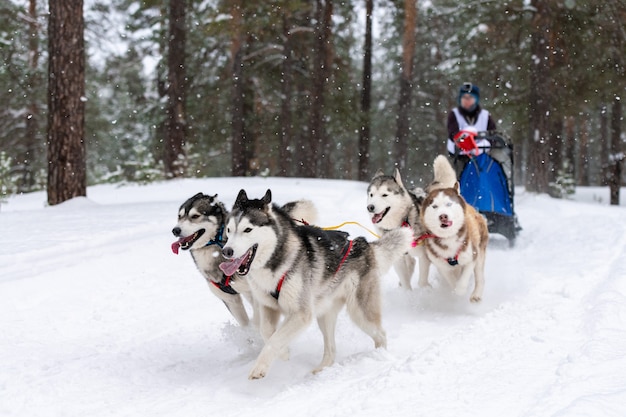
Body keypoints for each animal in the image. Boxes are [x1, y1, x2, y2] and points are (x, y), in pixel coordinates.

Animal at [171, 192, 314, 324]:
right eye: (179, 216)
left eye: (195, 216)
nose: (175, 230)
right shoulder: (230, 300)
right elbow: (245, 324)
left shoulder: (254, 294)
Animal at [217, 190, 412, 378]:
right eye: (229, 230)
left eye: (247, 230)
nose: (227, 251)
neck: (276, 259)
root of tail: (364, 245)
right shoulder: (268, 306)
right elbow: (266, 332)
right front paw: (284, 352)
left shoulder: (301, 314)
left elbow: (275, 339)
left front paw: (261, 367)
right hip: (324, 315)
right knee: (331, 349)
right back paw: (321, 370)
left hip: (360, 312)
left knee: (381, 335)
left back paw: (379, 358)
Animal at [366, 156, 454, 290]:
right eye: (371, 194)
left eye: (384, 195)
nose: (370, 207)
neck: (402, 222)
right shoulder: (399, 258)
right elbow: (405, 281)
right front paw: (407, 292)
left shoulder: (424, 256)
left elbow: (422, 280)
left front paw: (424, 290)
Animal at [420, 158, 488, 300]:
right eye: (434, 206)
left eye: (449, 204)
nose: (443, 216)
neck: (449, 238)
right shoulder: (441, 265)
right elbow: (451, 279)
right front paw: (454, 288)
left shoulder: (471, 256)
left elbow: (464, 277)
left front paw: (461, 290)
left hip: (480, 251)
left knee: (479, 276)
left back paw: (476, 294)